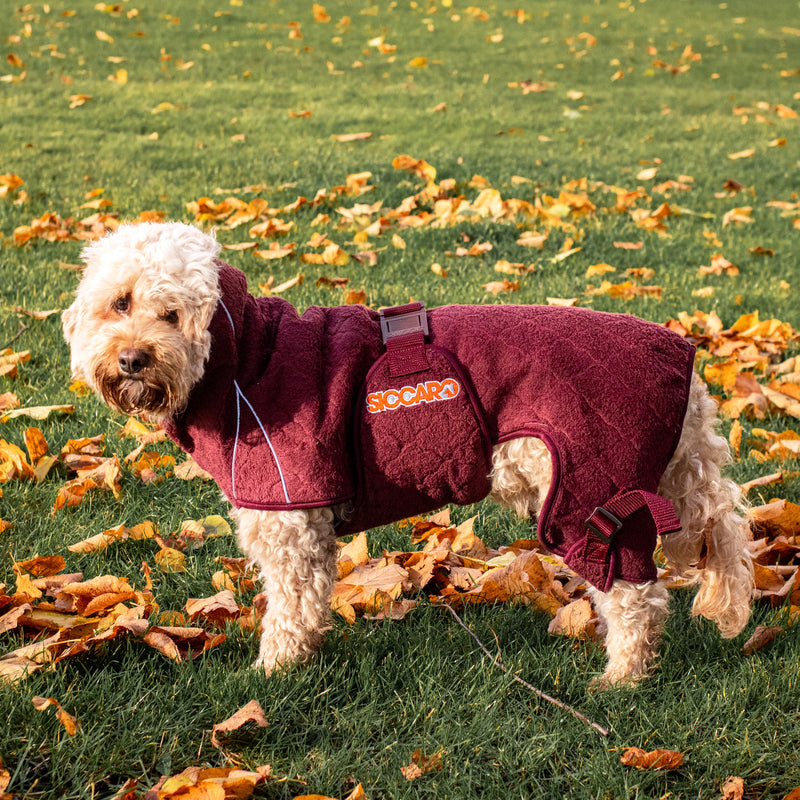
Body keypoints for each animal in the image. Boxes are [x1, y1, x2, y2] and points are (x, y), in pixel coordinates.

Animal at [61, 220, 752, 688]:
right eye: (119, 303)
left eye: (172, 314)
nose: (132, 358)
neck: (244, 362)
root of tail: (684, 358)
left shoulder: (290, 521)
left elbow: (290, 608)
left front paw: (275, 671)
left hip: (591, 500)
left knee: (637, 597)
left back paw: (621, 678)